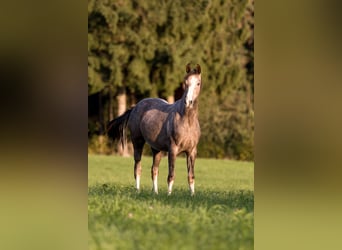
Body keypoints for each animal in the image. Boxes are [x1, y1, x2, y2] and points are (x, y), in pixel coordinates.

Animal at [108, 63, 202, 195]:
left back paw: (155, 193)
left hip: (156, 149)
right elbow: (171, 174)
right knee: (137, 168)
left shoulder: (192, 151)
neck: (187, 121)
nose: (188, 102)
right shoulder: (172, 150)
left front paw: (192, 195)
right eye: (185, 82)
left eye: (198, 83)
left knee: (154, 170)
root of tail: (135, 107)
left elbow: (191, 176)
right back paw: (138, 191)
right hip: (137, 142)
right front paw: (169, 195)